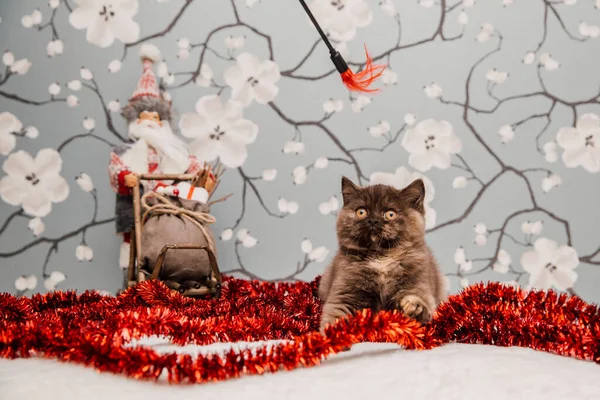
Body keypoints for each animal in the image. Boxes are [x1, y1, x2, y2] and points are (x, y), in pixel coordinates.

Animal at [318, 177, 446, 330]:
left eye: (390, 214)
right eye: (361, 212)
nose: (373, 221)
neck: (381, 258)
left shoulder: (419, 283)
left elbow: (421, 302)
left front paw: (414, 307)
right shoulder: (345, 293)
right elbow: (336, 316)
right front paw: (330, 334)